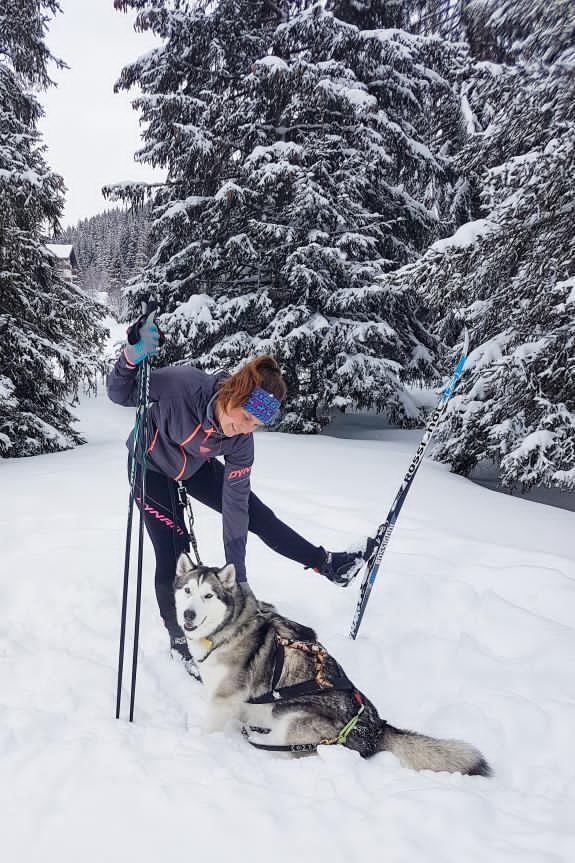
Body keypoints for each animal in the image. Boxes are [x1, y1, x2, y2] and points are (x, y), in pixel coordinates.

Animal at [176, 556, 490, 780]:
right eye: (188, 590)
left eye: (208, 596)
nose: (188, 614)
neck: (228, 629)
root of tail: (376, 728)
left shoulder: (224, 699)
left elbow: (209, 727)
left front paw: (198, 742)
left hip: (294, 718)